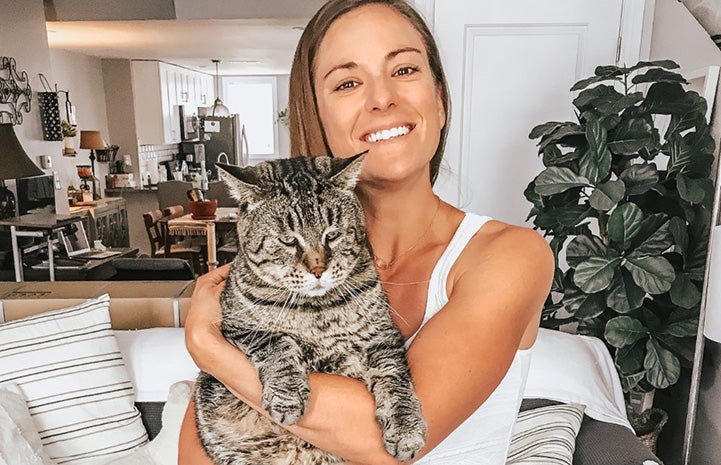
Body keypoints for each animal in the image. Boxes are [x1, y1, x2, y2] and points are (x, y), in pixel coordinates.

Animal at [194, 155, 424, 464]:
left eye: (332, 235)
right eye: (289, 240)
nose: (318, 269)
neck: (317, 312)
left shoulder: (382, 336)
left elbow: (394, 379)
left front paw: (405, 429)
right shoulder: (240, 328)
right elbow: (278, 344)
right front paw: (288, 395)